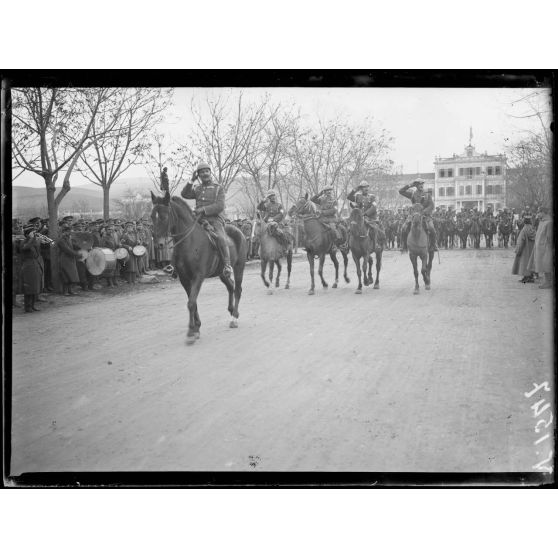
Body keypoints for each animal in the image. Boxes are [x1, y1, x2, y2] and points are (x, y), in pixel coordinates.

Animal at [150, 190, 246, 344]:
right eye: (152, 216)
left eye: (164, 216)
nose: (158, 244)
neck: (189, 242)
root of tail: (238, 231)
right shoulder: (184, 279)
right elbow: (193, 302)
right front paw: (196, 328)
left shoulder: (198, 277)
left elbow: (191, 302)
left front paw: (191, 331)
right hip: (221, 273)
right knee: (230, 286)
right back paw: (231, 310)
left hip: (239, 267)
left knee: (237, 289)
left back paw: (234, 317)